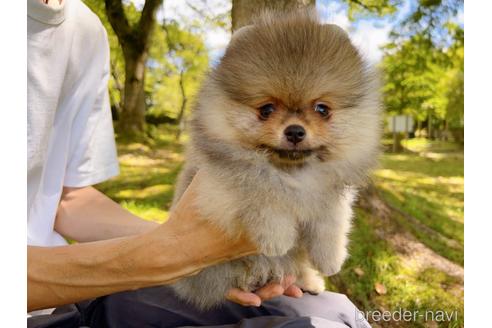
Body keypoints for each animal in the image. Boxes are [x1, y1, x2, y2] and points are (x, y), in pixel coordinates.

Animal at [169, 8, 380, 310]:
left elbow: (332, 223)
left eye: (322, 109)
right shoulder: (220, 180)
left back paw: (309, 280)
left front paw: (331, 259)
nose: (295, 131)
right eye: (266, 109)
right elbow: (262, 196)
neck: (293, 172)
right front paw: (276, 238)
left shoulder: (332, 194)